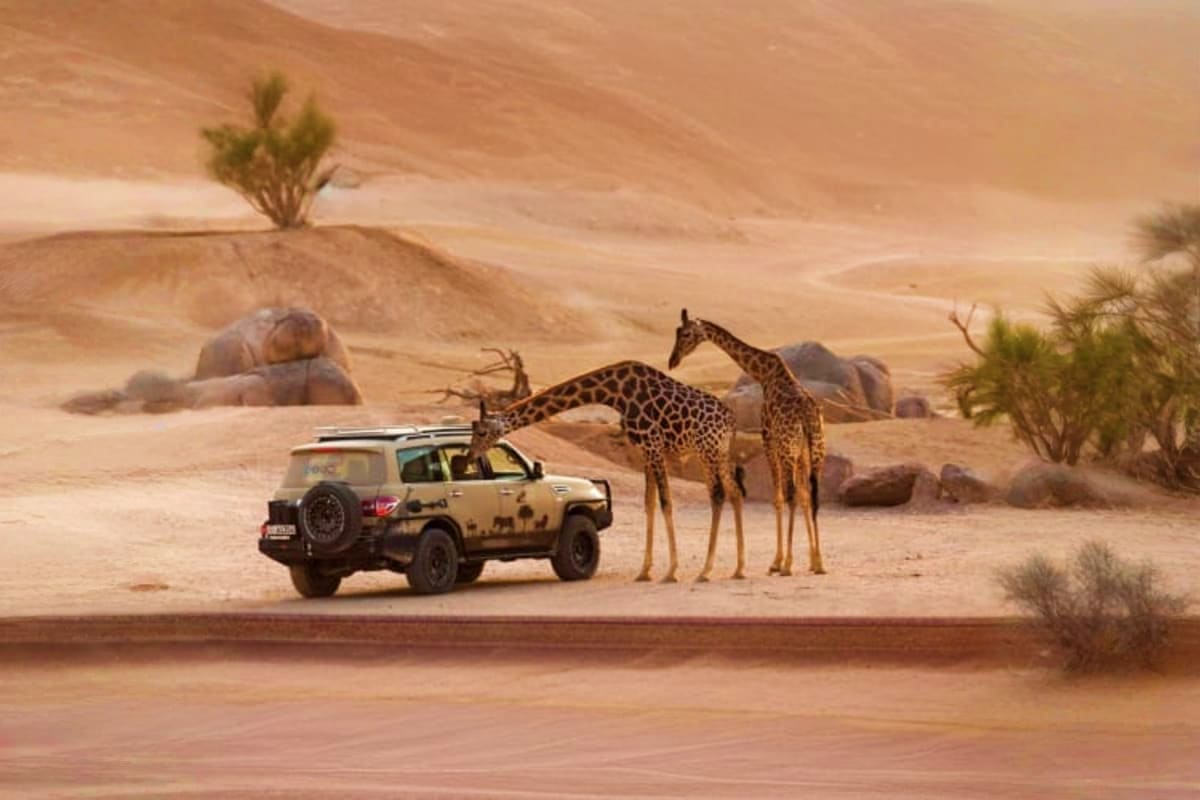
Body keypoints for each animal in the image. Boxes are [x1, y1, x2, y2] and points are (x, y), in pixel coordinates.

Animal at [468, 361, 745, 582]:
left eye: (481, 432)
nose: (469, 456)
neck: (616, 393)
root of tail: (731, 421)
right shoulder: (644, 450)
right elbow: (649, 504)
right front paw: (644, 571)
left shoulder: (653, 445)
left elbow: (666, 503)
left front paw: (671, 571)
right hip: (717, 451)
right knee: (733, 493)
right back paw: (738, 569)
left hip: (707, 449)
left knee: (718, 494)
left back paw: (706, 571)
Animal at [668, 310, 827, 575]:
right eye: (677, 332)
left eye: (687, 334)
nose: (672, 360)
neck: (764, 374)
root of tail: (806, 416)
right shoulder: (800, 451)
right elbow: (805, 497)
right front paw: (815, 561)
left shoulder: (769, 438)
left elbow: (779, 498)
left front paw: (777, 561)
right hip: (816, 450)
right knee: (812, 495)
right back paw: (820, 564)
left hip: (788, 448)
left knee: (791, 494)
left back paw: (786, 565)